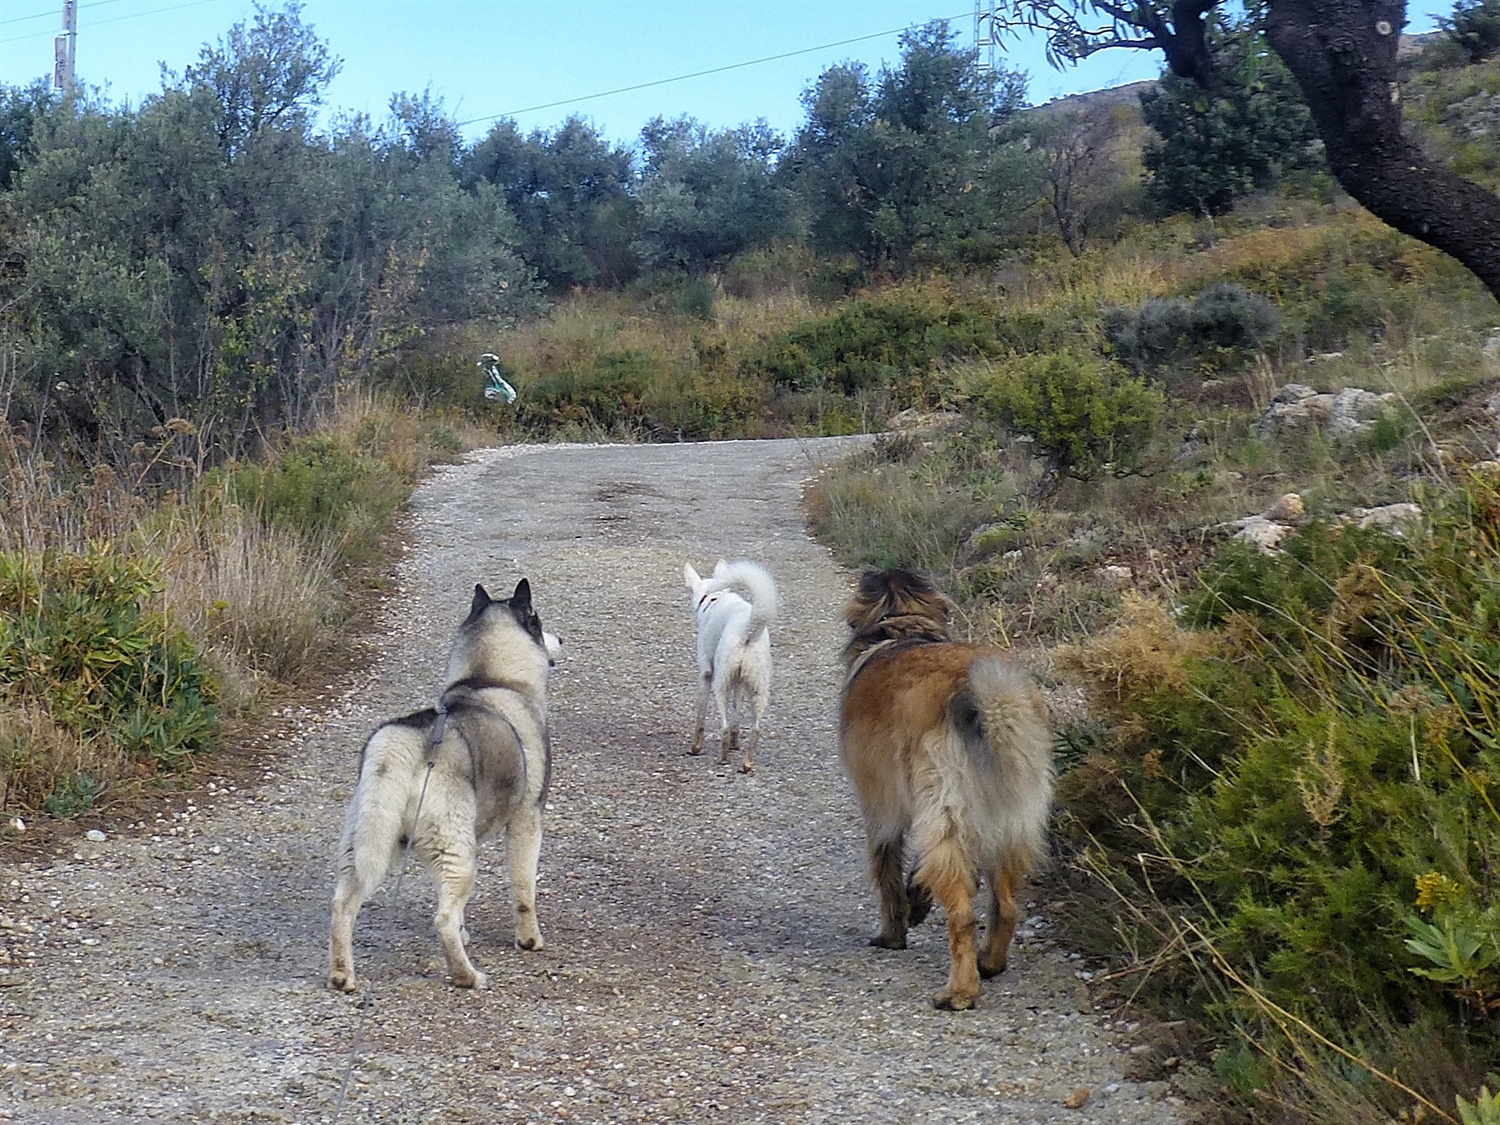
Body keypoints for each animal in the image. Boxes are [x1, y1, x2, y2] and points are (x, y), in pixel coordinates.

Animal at [331, 582, 561, 996]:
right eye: (538, 621)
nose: (561, 639)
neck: (490, 677)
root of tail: (404, 743)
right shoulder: (526, 820)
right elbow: (524, 890)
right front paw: (529, 939)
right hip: (456, 854)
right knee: (442, 919)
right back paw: (466, 975)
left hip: (368, 844)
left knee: (343, 904)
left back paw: (342, 974)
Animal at [840, 573, 1050, 1014]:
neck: (903, 631)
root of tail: (985, 697)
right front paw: (916, 901)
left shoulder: (882, 808)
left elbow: (886, 872)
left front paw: (892, 932)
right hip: (1007, 818)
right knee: (1006, 906)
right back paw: (991, 962)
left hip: (949, 809)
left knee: (963, 915)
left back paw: (960, 991)